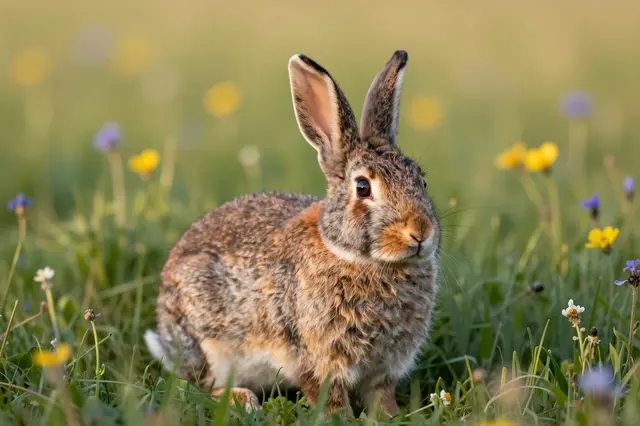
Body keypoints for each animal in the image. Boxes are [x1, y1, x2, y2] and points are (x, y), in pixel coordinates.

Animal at [144, 50, 440, 416]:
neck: (363, 261)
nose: (420, 232)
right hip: (208, 341)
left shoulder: (384, 367)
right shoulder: (313, 355)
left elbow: (380, 396)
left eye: (422, 182)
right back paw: (243, 400)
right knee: (201, 385)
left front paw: (391, 417)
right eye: (362, 187)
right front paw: (340, 419)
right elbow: (327, 395)